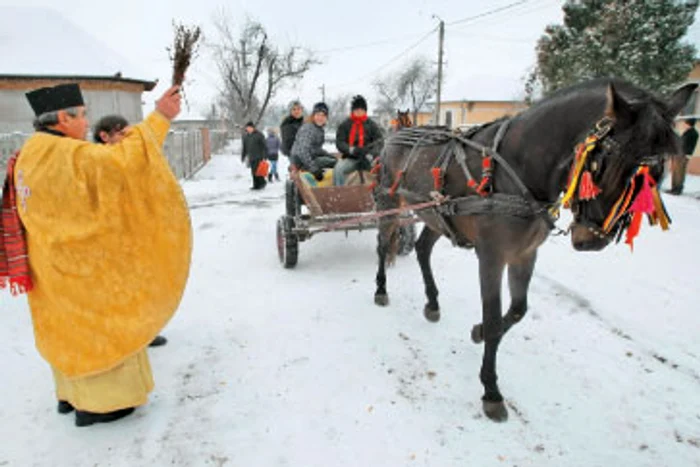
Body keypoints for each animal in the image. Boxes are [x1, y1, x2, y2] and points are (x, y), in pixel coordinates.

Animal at [372, 79, 696, 424]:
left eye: (655, 176)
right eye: (603, 162)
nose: (591, 240)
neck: (517, 169)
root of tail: (394, 135)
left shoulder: (525, 254)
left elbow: (517, 310)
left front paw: (478, 333)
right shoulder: (491, 257)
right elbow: (494, 317)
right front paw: (491, 391)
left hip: (437, 214)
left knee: (422, 250)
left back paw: (432, 303)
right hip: (390, 204)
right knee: (383, 245)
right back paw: (381, 289)